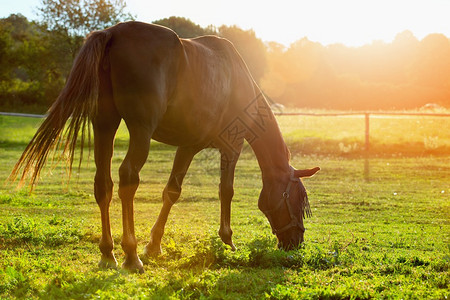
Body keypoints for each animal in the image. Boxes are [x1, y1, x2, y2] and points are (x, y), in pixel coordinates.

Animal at [10, 21, 320, 274]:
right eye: (298, 200)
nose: (296, 242)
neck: (238, 82)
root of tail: (112, 34)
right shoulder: (230, 147)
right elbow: (226, 191)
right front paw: (228, 240)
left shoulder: (188, 145)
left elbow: (171, 191)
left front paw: (154, 245)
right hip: (141, 131)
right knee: (128, 178)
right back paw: (131, 255)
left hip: (105, 124)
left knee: (103, 184)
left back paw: (108, 254)